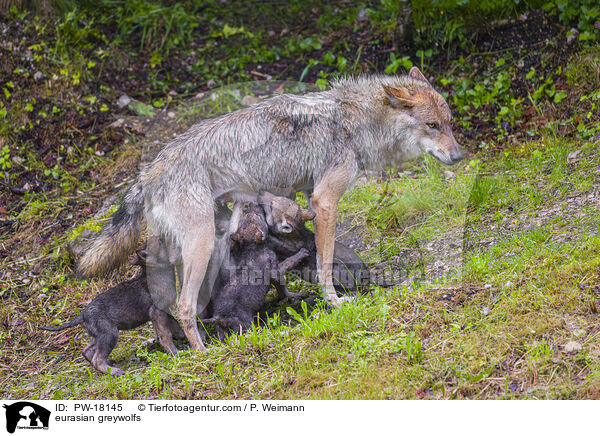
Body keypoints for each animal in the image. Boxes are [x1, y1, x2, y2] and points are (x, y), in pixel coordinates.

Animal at [74, 69, 460, 354]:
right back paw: (204, 353)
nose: (459, 156)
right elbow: (325, 263)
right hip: (202, 245)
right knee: (183, 306)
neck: (353, 121)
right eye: (432, 126)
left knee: (176, 307)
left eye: (449, 122)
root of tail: (149, 170)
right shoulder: (325, 201)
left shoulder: (299, 197)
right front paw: (334, 302)